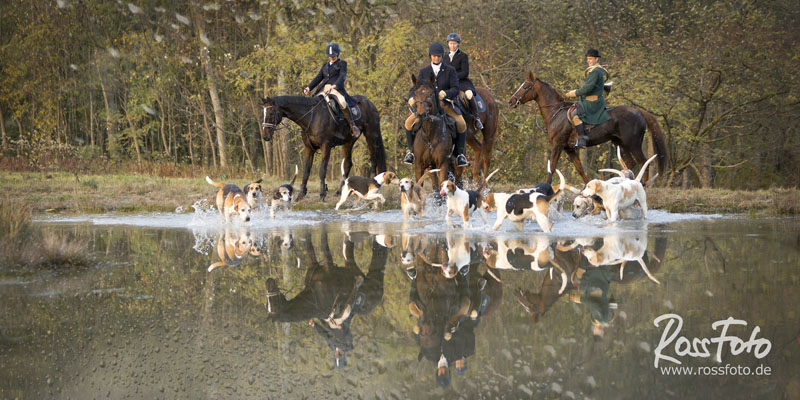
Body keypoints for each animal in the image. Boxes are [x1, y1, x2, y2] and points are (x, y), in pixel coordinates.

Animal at [260, 94, 388, 200]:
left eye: (271, 113)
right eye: (264, 113)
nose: (265, 136)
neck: (311, 117)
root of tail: (370, 103)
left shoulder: (325, 146)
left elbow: (322, 170)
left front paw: (322, 194)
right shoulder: (309, 148)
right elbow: (306, 171)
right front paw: (301, 194)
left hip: (371, 135)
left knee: (373, 159)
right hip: (348, 142)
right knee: (347, 163)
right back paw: (339, 191)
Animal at [510, 70, 664, 184]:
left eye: (525, 87)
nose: (511, 101)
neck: (556, 112)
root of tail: (639, 111)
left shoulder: (558, 145)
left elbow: (552, 168)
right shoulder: (569, 149)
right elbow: (580, 169)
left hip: (633, 144)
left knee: (644, 163)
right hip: (621, 144)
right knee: (630, 163)